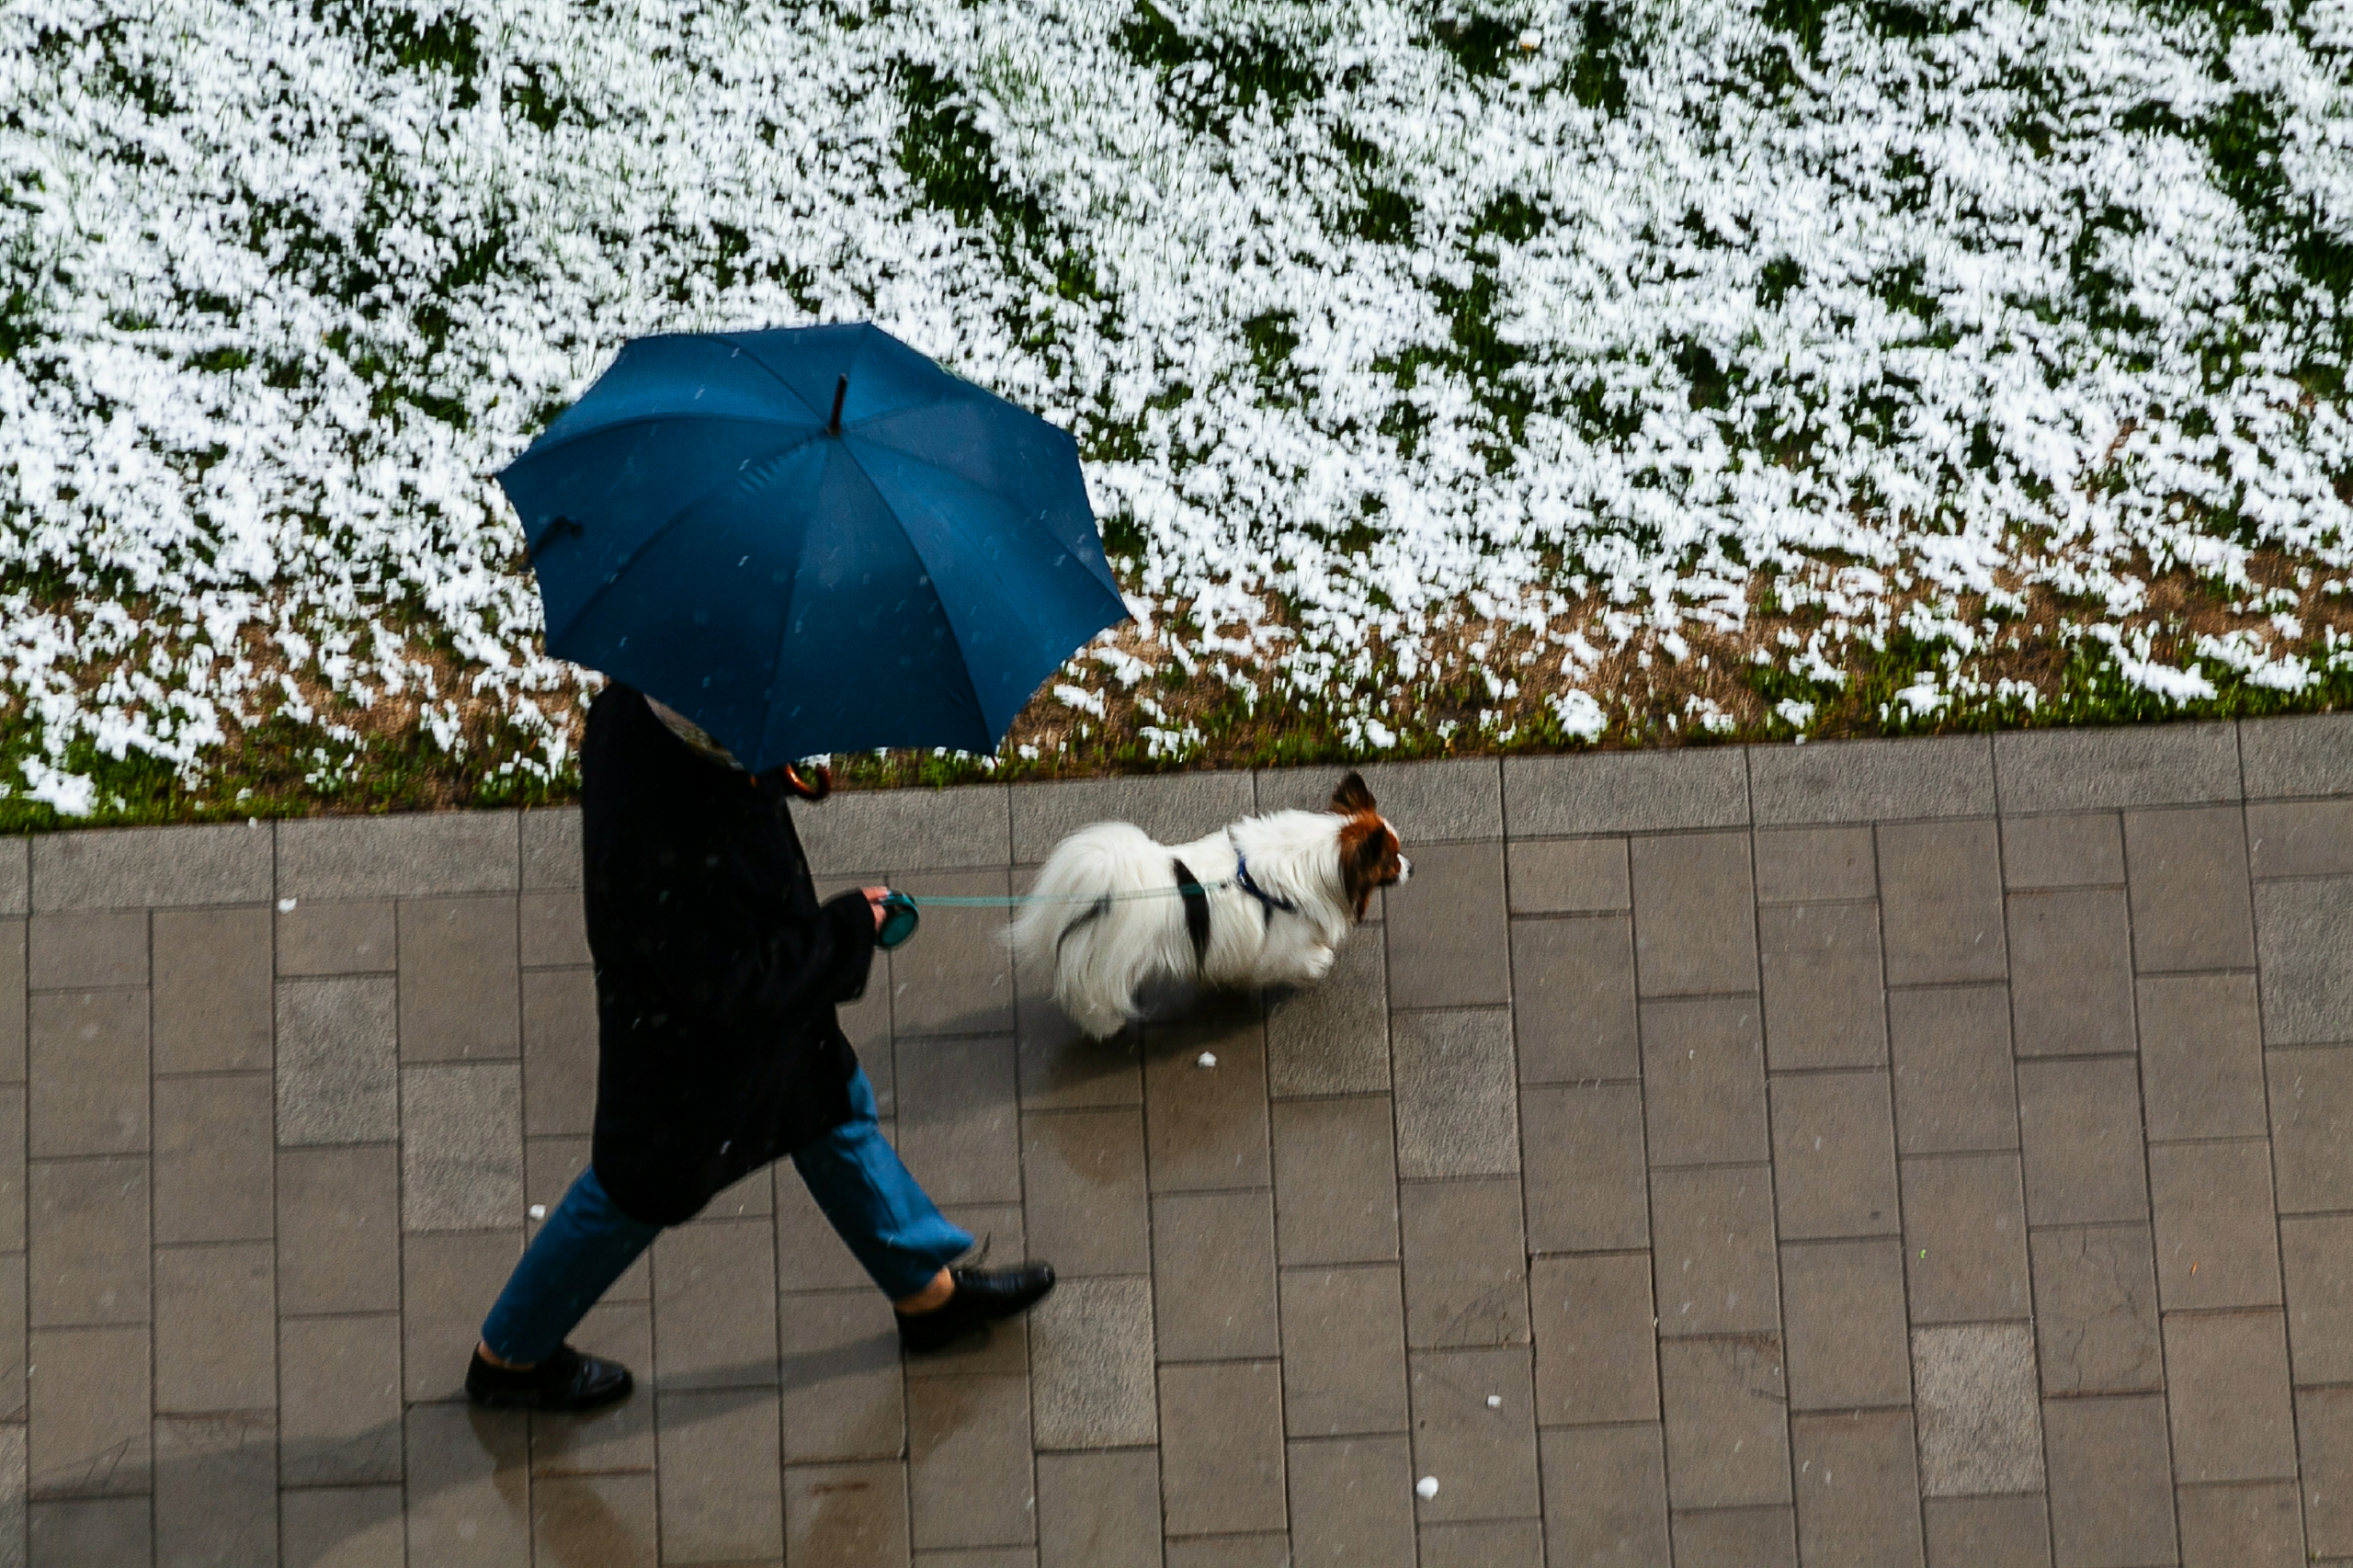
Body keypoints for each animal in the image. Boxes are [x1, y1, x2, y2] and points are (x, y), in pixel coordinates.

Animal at [1016, 767, 1412, 1036]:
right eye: (1392, 859)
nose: (1412, 866)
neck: (1323, 858)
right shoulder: (1280, 943)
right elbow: (1307, 958)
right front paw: (1318, 963)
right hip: (1108, 967)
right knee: (1095, 1000)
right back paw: (1107, 1026)